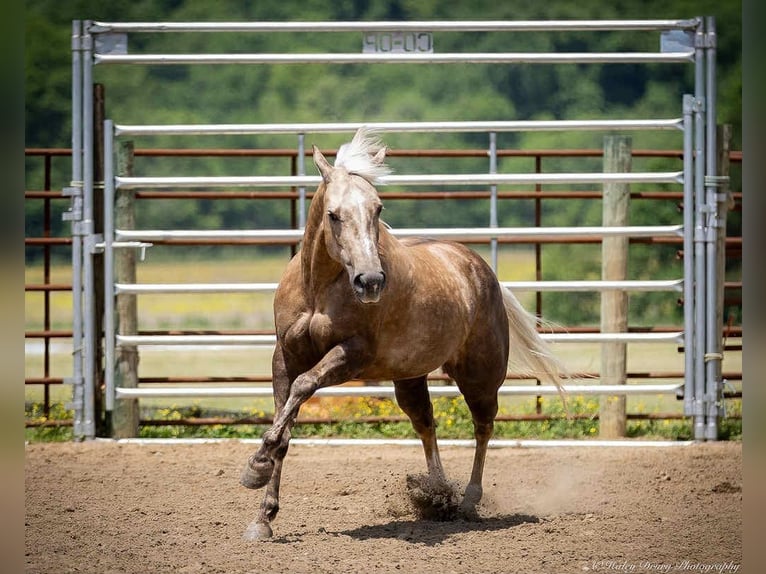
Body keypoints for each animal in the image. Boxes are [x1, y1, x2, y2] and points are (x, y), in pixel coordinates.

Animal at [240, 128, 566, 540]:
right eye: (334, 215)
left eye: (378, 209)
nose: (370, 281)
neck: (317, 290)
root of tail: (481, 270)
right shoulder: (284, 356)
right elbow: (284, 426)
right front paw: (262, 514)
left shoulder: (352, 356)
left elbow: (302, 388)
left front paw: (255, 467)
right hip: (409, 378)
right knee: (426, 423)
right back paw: (438, 493)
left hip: (480, 376)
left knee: (483, 425)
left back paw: (467, 500)